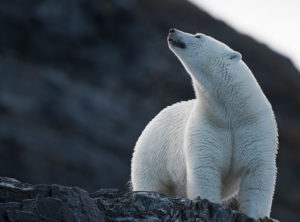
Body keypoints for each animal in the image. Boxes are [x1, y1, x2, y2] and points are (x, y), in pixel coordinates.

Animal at [130, 28, 278, 219]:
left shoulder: (255, 127)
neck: (232, 113)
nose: (172, 30)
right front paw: (209, 204)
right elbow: (205, 167)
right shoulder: (206, 126)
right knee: (151, 182)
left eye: (198, 36)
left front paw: (258, 215)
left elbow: (257, 172)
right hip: (152, 155)